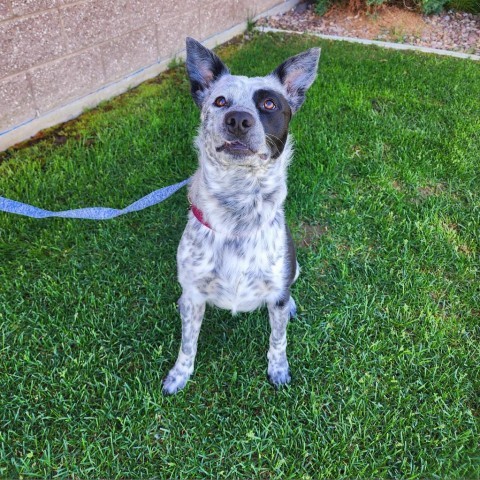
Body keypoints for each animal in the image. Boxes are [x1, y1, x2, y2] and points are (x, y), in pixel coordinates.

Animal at [162, 38, 322, 394]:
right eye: (220, 101)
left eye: (269, 104)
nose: (238, 120)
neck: (237, 214)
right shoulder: (193, 296)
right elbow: (187, 343)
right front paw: (180, 375)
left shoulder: (276, 291)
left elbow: (278, 340)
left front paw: (278, 369)